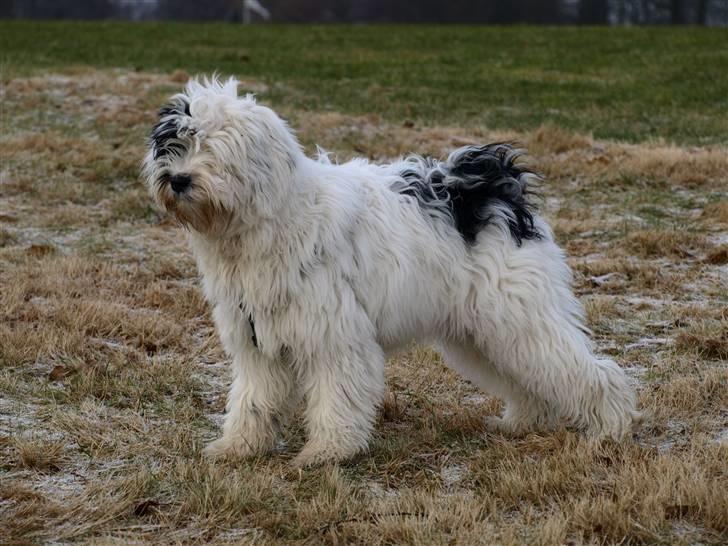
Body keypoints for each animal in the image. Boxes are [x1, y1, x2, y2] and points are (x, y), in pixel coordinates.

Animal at [141, 76, 636, 466]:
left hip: (519, 315)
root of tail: (496, 185)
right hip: (482, 331)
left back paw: (610, 430)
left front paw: (327, 452)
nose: (178, 180)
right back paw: (523, 422)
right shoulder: (257, 339)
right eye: (174, 145)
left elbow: (337, 396)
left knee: (590, 372)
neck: (269, 220)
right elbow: (253, 400)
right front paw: (239, 447)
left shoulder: (335, 335)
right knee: (528, 378)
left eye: (214, 147)